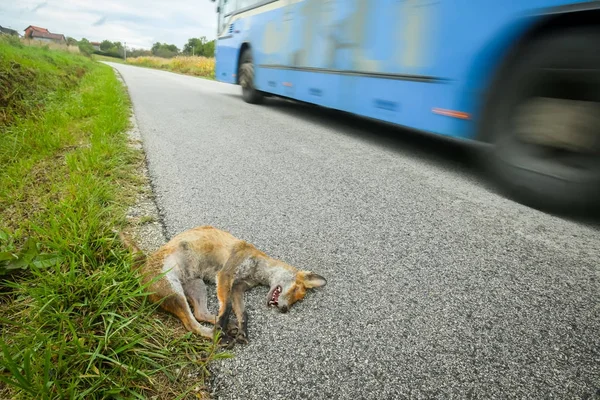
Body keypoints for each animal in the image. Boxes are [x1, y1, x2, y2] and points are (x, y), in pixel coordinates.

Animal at [121, 225, 326, 346]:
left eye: (296, 300)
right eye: (295, 290)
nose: (284, 309)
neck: (256, 269)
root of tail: (142, 266)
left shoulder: (237, 288)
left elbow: (243, 314)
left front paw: (242, 330)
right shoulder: (225, 275)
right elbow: (226, 307)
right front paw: (223, 326)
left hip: (197, 286)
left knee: (200, 313)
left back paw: (228, 328)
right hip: (175, 292)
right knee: (191, 324)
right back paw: (219, 335)